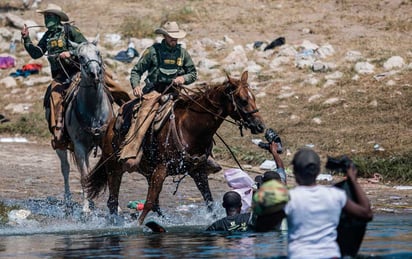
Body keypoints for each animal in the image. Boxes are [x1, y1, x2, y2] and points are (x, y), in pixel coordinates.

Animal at [55, 38, 114, 213]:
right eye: (80, 57)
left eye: (98, 53)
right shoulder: (79, 146)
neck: (94, 111)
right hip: (61, 146)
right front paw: (86, 208)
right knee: (66, 169)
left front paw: (116, 208)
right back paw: (69, 201)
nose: (95, 74)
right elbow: (84, 176)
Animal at [87, 71, 266, 225]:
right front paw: (137, 225)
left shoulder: (198, 171)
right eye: (243, 100)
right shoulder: (162, 169)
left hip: (147, 170)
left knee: (155, 204)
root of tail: (109, 127)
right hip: (114, 169)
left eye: (253, 98)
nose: (260, 126)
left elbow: (209, 201)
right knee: (113, 201)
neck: (189, 128)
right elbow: (149, 202)